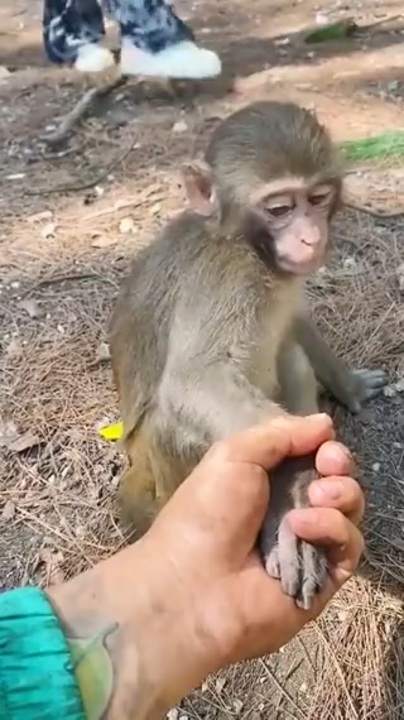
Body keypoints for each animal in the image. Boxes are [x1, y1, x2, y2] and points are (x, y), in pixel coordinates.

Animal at [109, 100, 386, 610]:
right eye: (279, 208)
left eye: (318, 198)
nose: (310, 237)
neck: (252, 251)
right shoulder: (225, 276)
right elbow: (196, 380)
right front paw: (290, 500)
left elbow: (296, 321)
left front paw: (348, 385)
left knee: (289, 354)